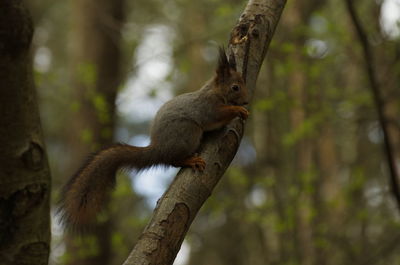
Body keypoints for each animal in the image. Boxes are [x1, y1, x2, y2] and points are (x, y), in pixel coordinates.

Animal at [57, 46, 248, 228]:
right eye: (235, 87)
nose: (246, 101)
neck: (216, 92)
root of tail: (158, 148)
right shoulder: (208, 107)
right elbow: (218, 115)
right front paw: (238, 110)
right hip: (189, 132)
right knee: (172, 160)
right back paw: (190, 160)